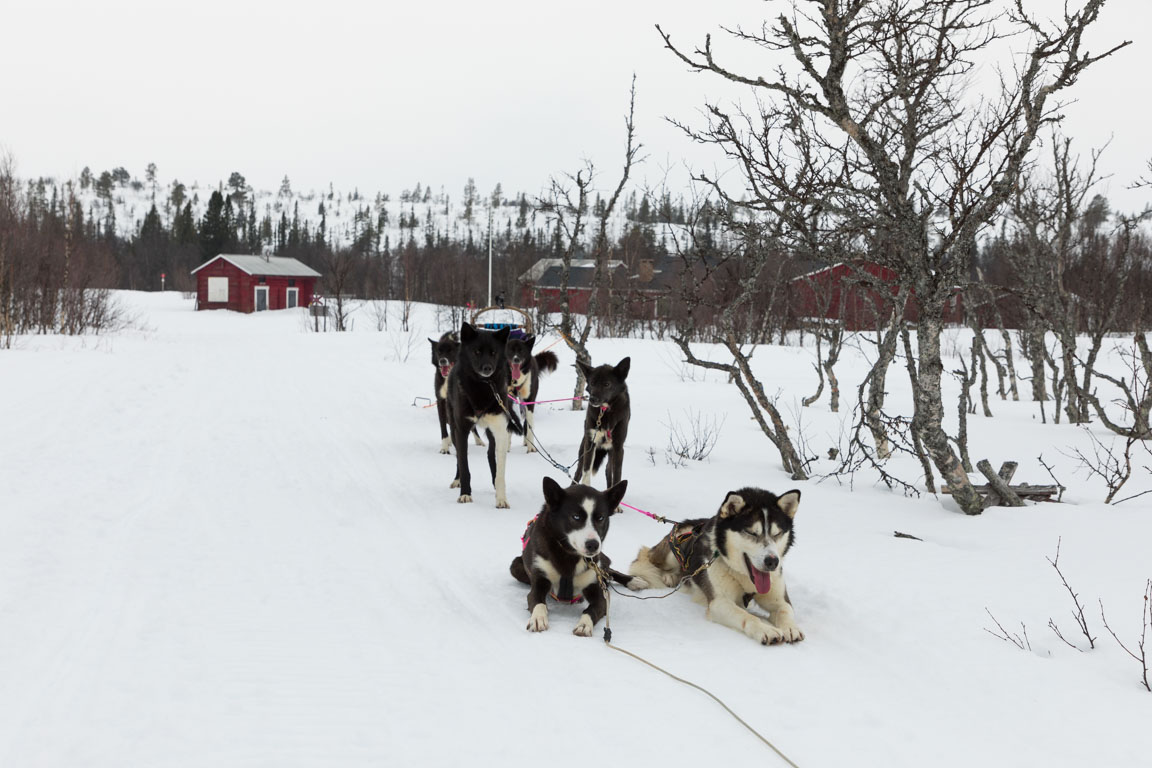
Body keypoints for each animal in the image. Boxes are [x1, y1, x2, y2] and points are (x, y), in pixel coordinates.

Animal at [446, 322, 525, 506]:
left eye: (494, 352)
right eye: (476, 351)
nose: (487, 368)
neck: (482, 386)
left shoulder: (500, 430)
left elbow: (500, 473)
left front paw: (501, 498)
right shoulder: (461, 430)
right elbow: (464, 463)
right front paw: (465, 493)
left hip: (492, 432)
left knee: (490, 454)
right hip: (453, 428)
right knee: (459, 458)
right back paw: (457, 480)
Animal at [573, 356, 631, 490]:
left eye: (607, 384)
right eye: (592, 383)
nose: (592, 399)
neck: (605, 411)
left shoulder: (618, 447)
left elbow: (617, 476)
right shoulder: (590, 443)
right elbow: (586, 472)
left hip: (611, 453)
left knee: (608, 470)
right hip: (583, 449)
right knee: (577, 473)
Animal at [626, 490, 806, 644]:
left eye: (777, 533)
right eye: (751, 533)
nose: (772, 561)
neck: (744, 578)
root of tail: (687, 523)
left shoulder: (780, 598)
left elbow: (785, 610)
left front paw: (791, 628)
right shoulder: (719, 603)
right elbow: (746, 615)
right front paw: (766, 629)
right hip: (672, 551)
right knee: (648, 557)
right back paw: (669, 575)